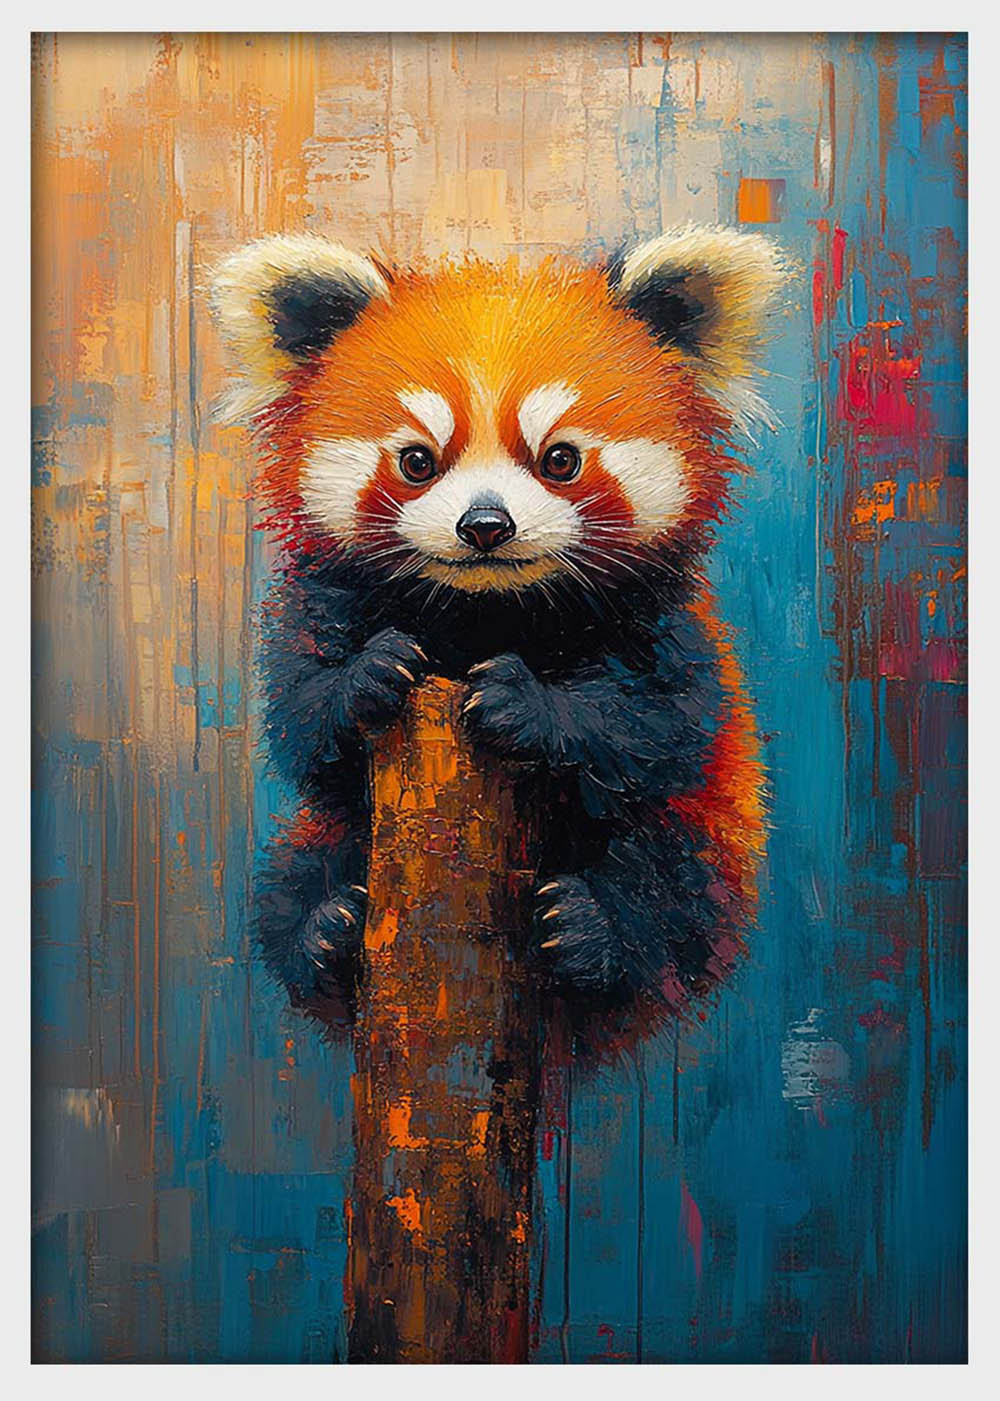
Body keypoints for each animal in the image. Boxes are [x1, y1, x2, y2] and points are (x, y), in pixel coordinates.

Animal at [211, 227, 786, 1037]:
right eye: (417, 461)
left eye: (560, 459)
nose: (485, 524)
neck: (486, 609)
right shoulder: (319, 604)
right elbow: (303, 725)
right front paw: (368, 676)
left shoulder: (671, 629)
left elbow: (654, 726)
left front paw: (526, 705)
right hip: (319, 839)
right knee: (287, 886)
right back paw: (324, 930)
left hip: (720, 831)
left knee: (674, 892)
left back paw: (593, 932)